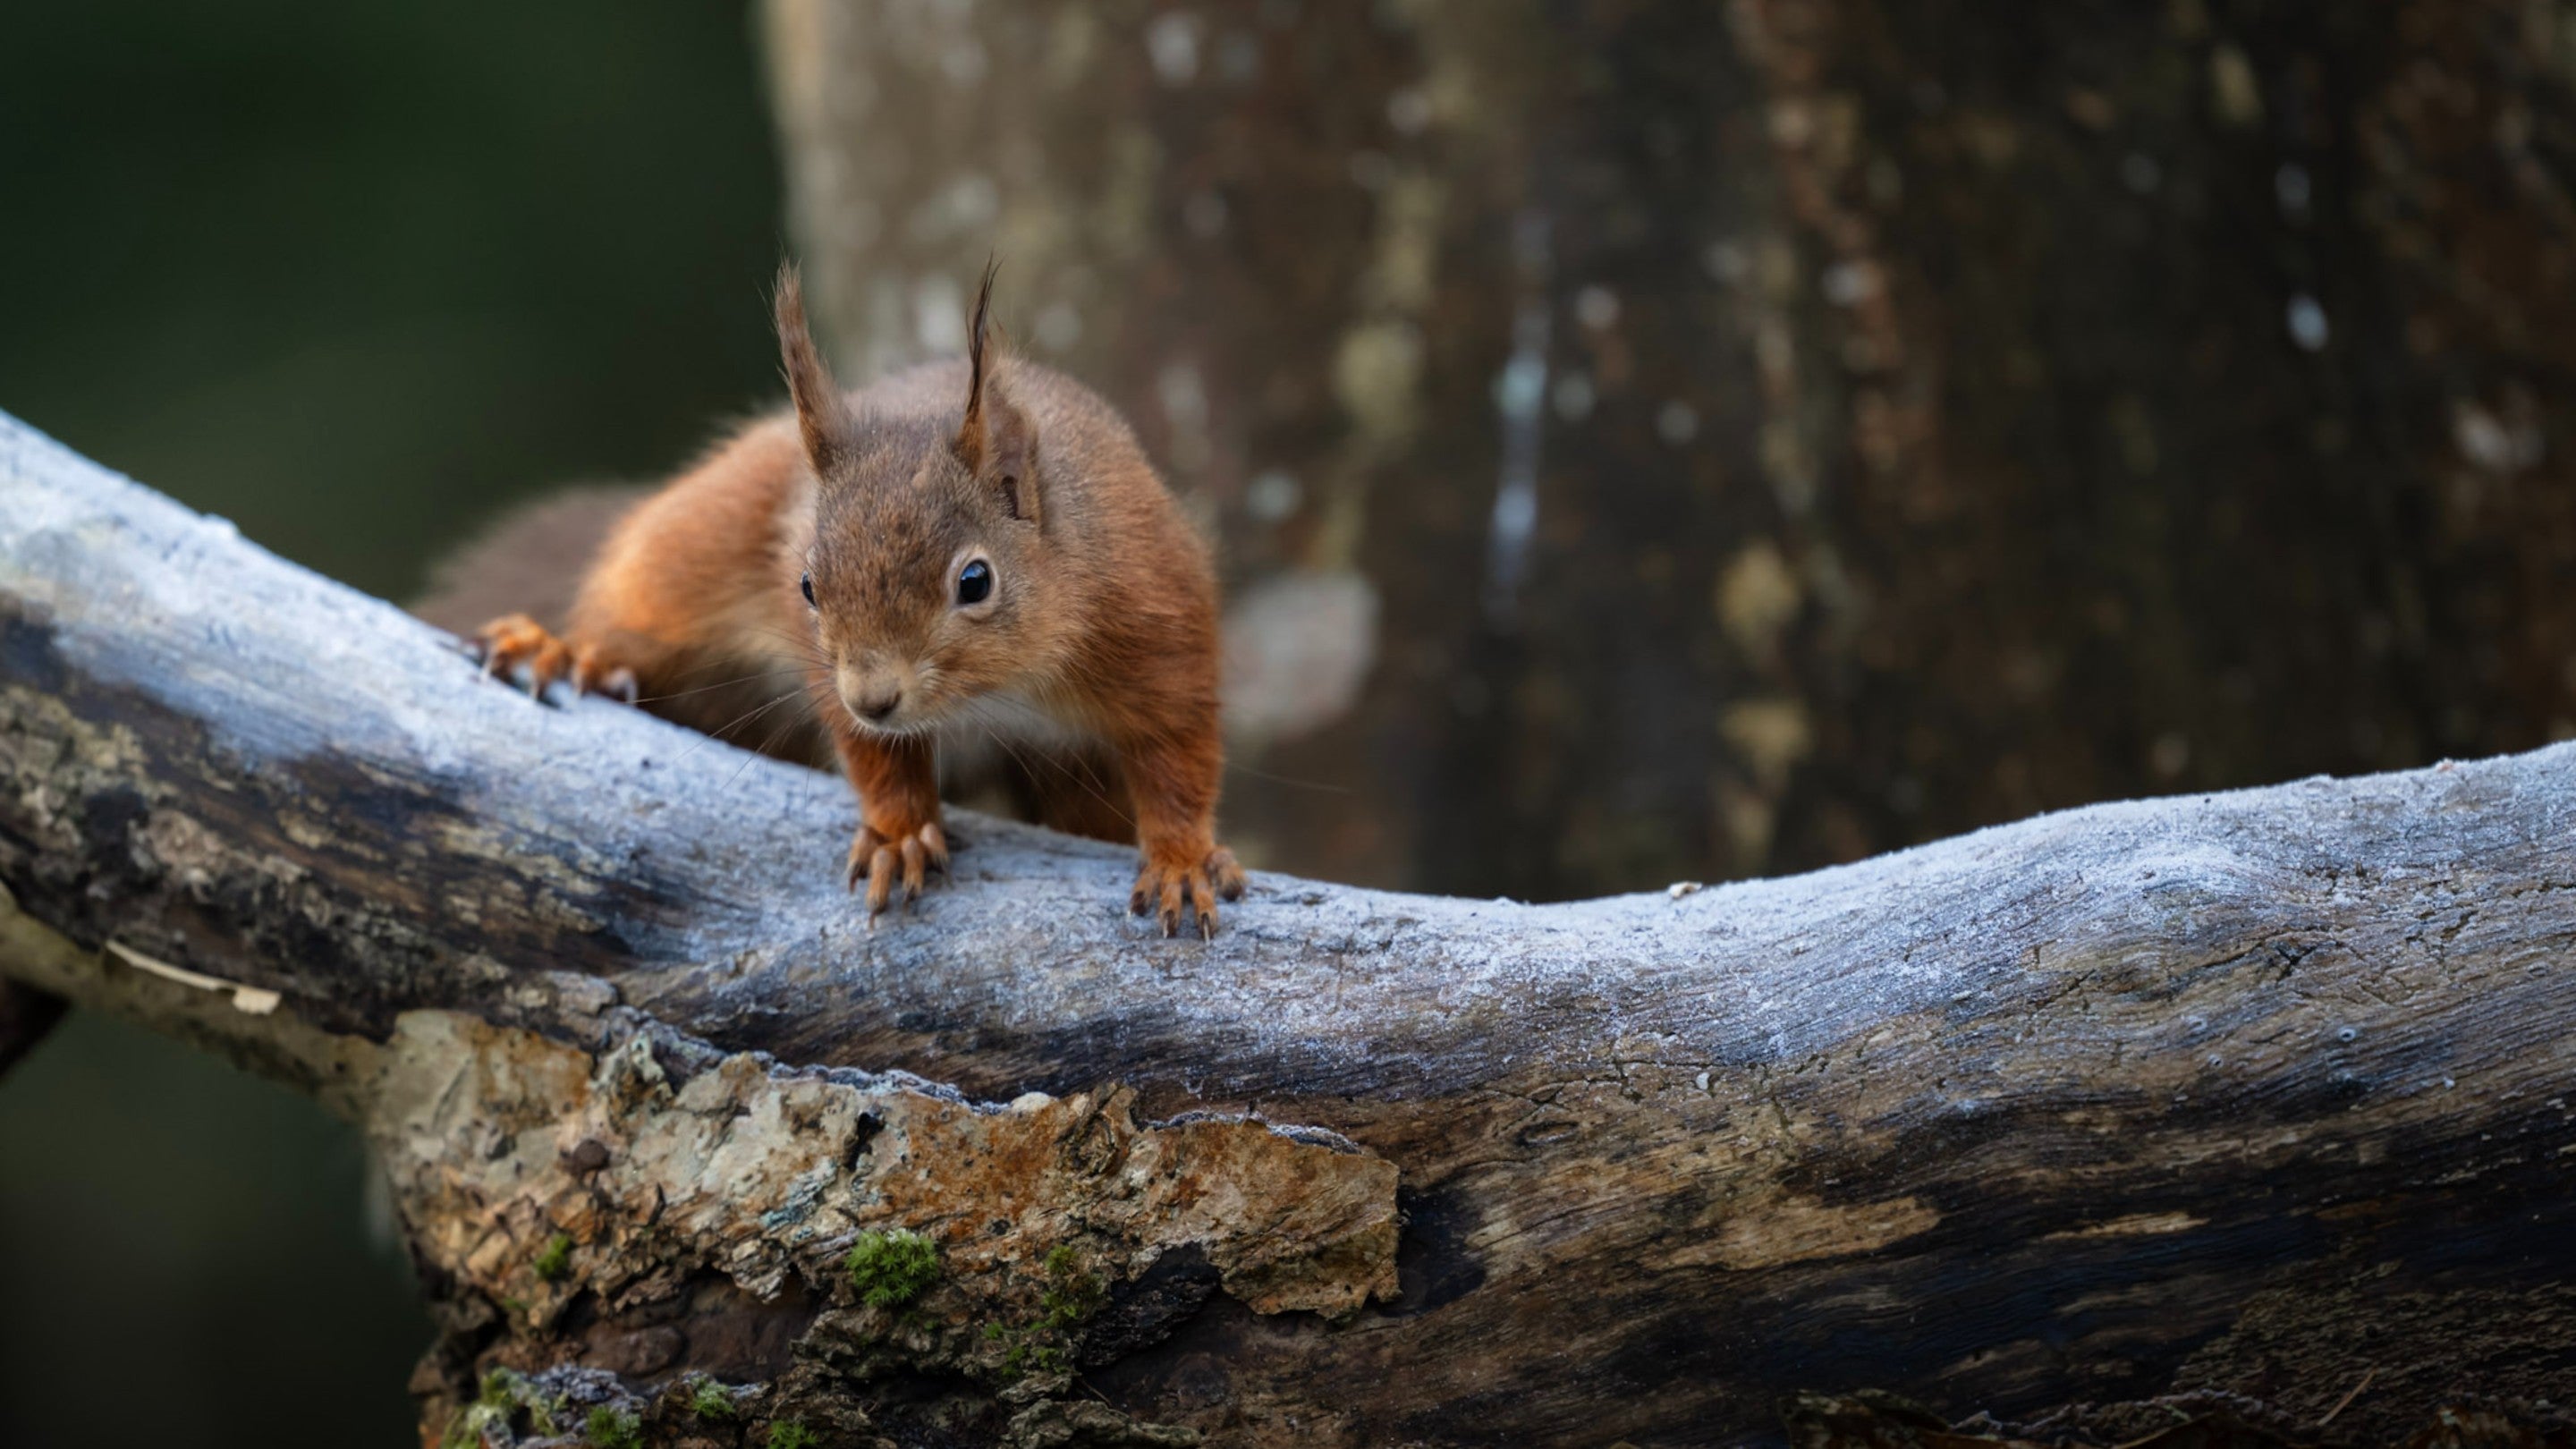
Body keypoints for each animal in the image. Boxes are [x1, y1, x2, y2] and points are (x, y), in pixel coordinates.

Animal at [441, 264, 1247, 937]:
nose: (875, 697)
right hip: (706, 528)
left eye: (975, 581)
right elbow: (872, 751)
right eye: (807, 585)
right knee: (639, 607)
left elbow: (1178, 752)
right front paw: (900, 833)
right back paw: (560, 649)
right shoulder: (827, 665)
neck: (997, 690)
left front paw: (1181, 859)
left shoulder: (1154, 615)